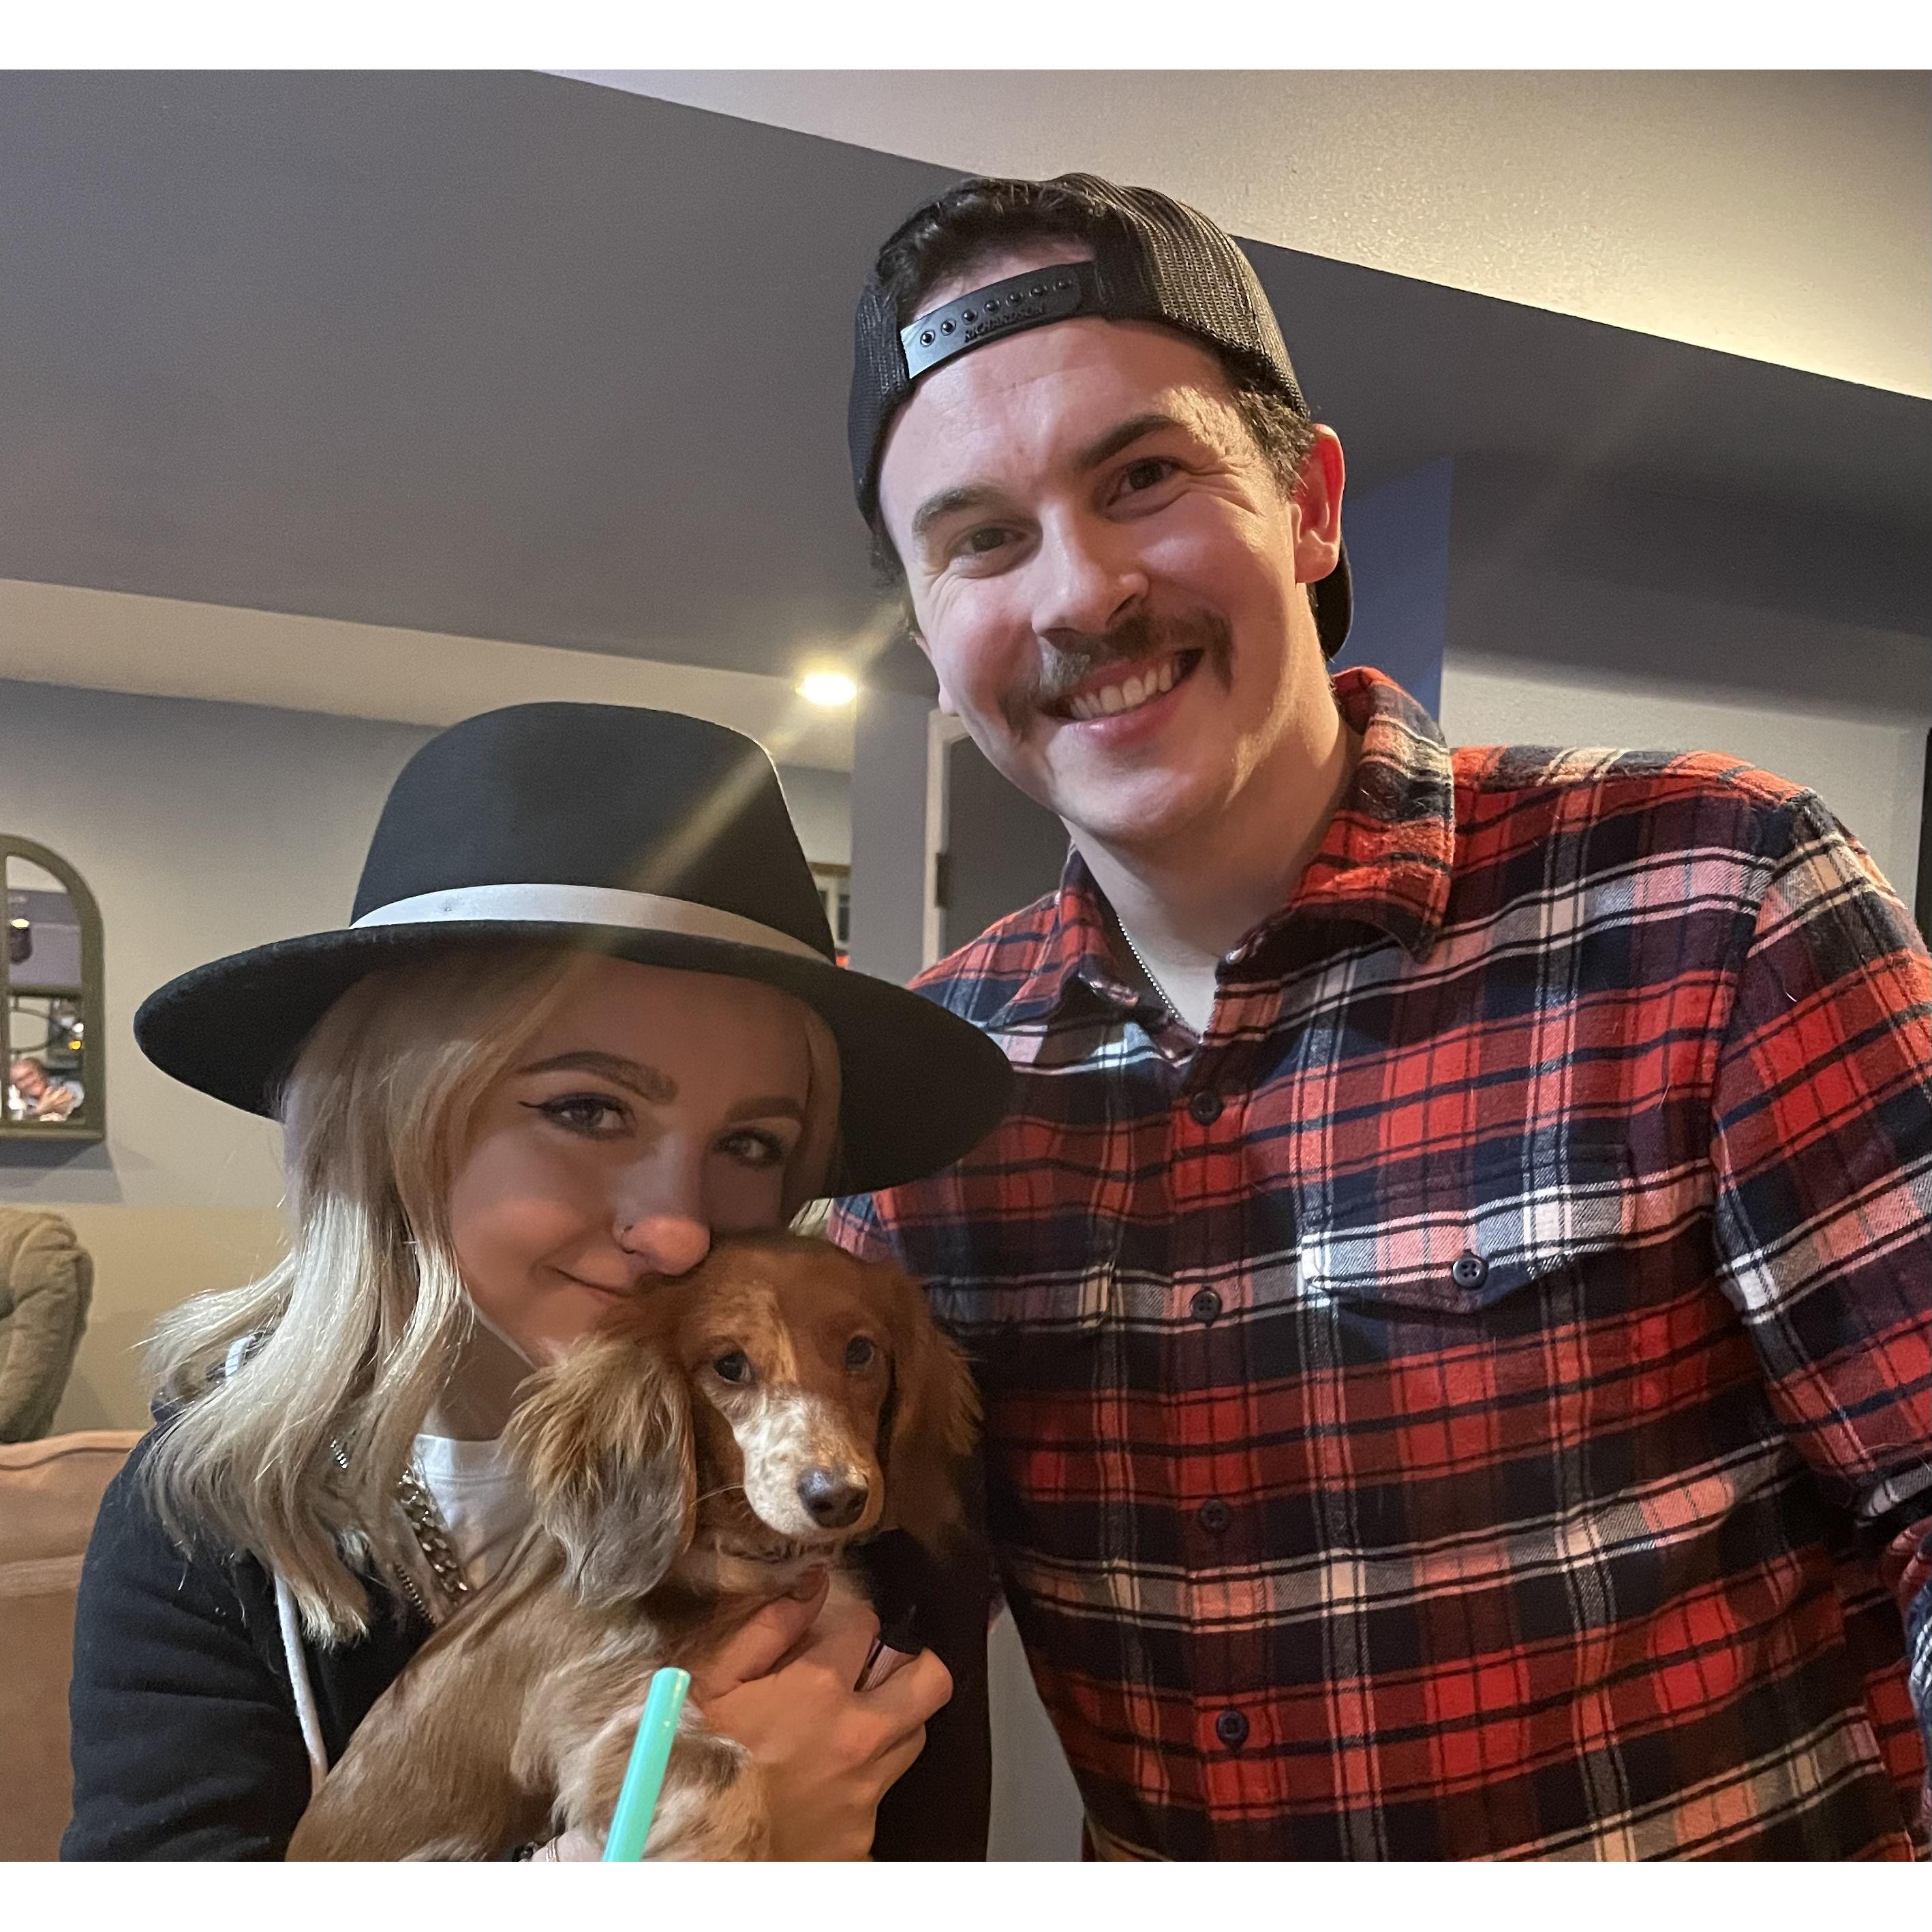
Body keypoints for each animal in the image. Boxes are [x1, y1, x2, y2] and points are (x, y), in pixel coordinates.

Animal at [286, 1232, 978, 1860]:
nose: (837, 1496)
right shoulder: (594, 1714)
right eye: (729, 1365)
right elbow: (729, 1772)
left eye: (861, 1351)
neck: (749, 1558)